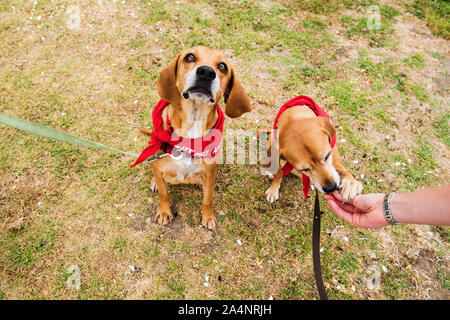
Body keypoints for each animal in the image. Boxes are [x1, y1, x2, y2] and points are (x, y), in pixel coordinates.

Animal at [149, 45, 251, 230]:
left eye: (222, 66)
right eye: (190, 57)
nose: (206, 72)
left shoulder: (210, 175)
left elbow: (207, 199)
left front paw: (208, 216)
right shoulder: (160, 171)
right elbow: (164, 194)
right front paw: (164, 212)